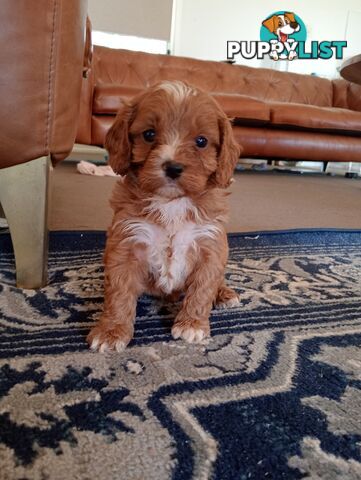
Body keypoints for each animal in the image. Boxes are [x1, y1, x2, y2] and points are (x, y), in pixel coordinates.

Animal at [86, 80, 240, 352]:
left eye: (201, 141)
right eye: (149, 134)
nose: (173, 167)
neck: (172, 202)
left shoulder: (210, 244)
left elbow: (203, 287)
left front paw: (192, 324)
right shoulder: (126, 242)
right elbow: (118, 293)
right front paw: (111, 331)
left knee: (217, 280)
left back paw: (224, 293)